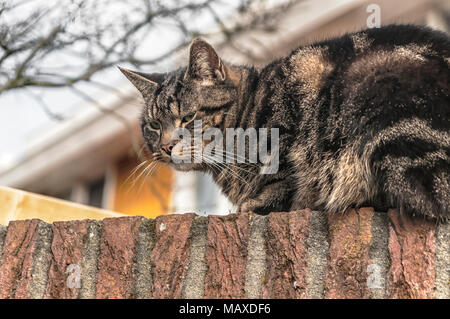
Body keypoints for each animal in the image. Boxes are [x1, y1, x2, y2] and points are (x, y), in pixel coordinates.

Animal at [119, 25, 450, 221]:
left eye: (188, 117)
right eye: (153, 126)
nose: (165, 146)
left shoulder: (288, 144)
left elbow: (282, 182)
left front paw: (253, 205)